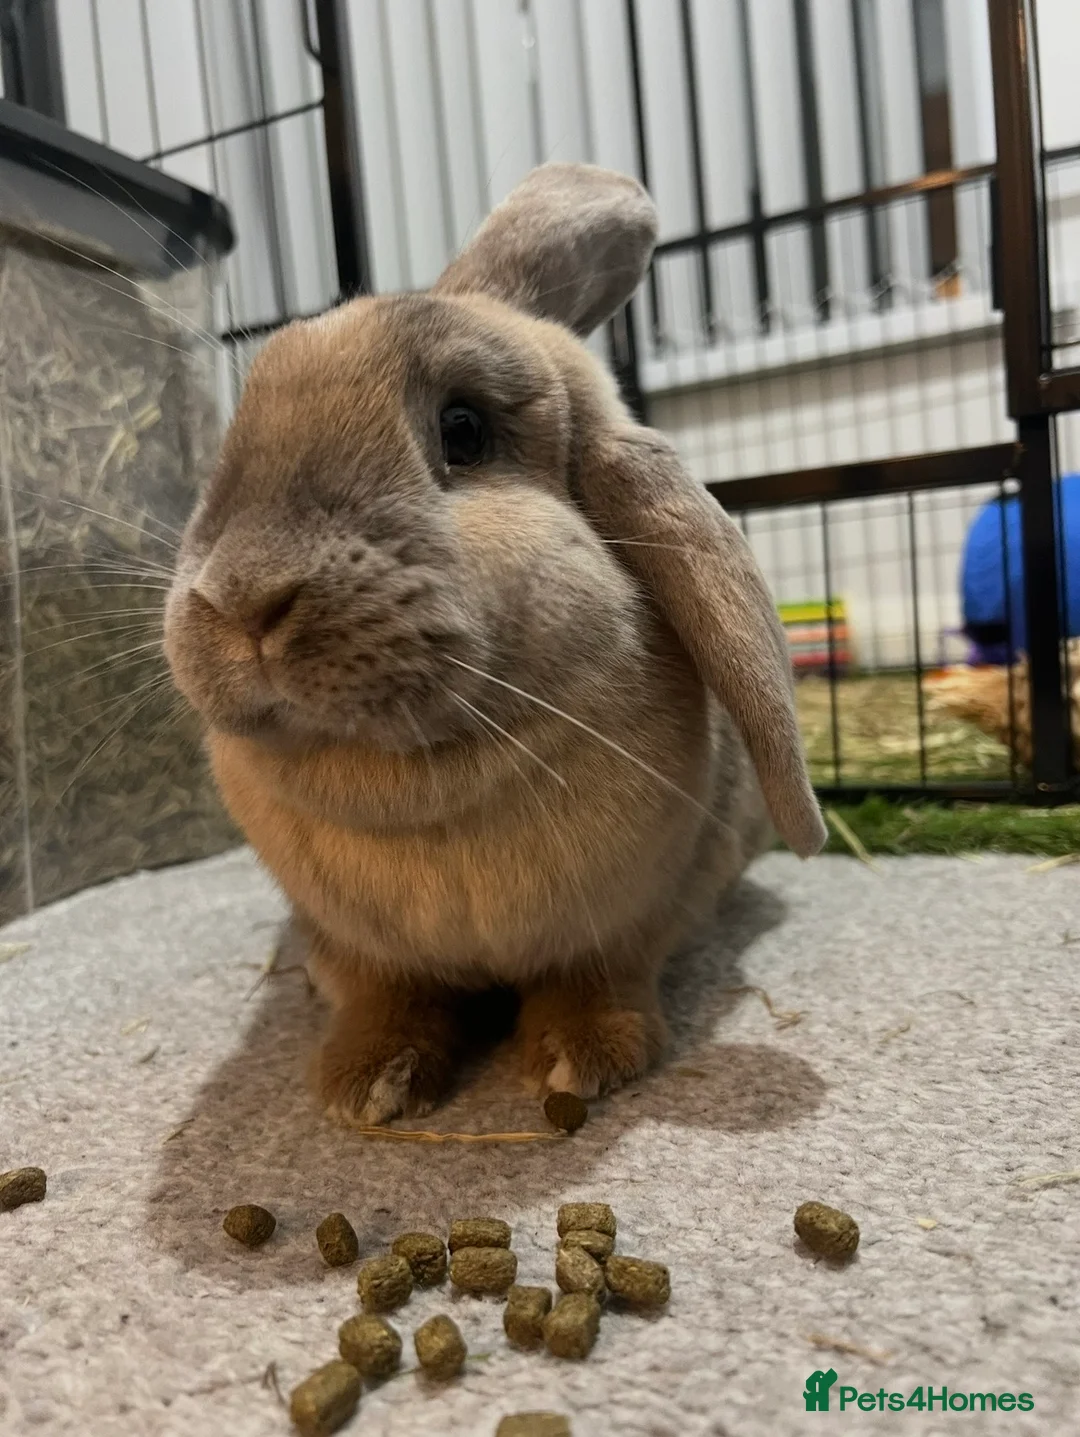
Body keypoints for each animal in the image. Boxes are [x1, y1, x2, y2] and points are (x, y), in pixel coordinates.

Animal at [163, 162, 825, 1125]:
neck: (427, 796)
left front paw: (581, 1059)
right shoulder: (353, 946)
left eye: (465, 431)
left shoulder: (637, 917)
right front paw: (365, 1086)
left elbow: (598, 975)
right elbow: (387, 996)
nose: (242, 600)